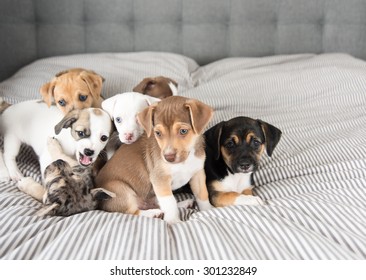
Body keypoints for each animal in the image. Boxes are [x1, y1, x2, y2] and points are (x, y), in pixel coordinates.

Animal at [96, 95, 214, 223]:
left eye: (183, 131)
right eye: (157, 133)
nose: (168, 157)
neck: (184, 161)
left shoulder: (198, 174)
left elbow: (202, 194)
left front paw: (208, 210)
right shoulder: (160, 180)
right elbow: (170, 202)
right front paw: (173, 221)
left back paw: (184, 203)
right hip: (120, 189)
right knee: (133, 211)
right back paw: (153, 214)